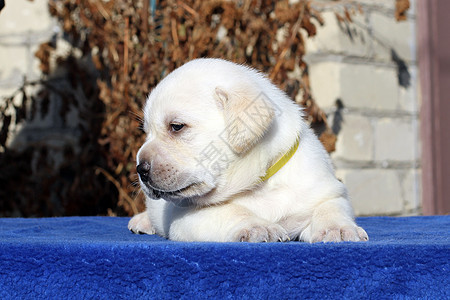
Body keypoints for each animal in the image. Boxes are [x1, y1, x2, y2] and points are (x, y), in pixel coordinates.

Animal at [128, 58, 368, 244]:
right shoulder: (187, 215)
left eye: (176, 126)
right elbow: (230, 211)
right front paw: (258, 227)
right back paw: (143, 220)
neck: (259, 187)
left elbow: (331, 208)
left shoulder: (328, 190)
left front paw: (338, 229)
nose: (140, 169)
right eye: (146, 132)